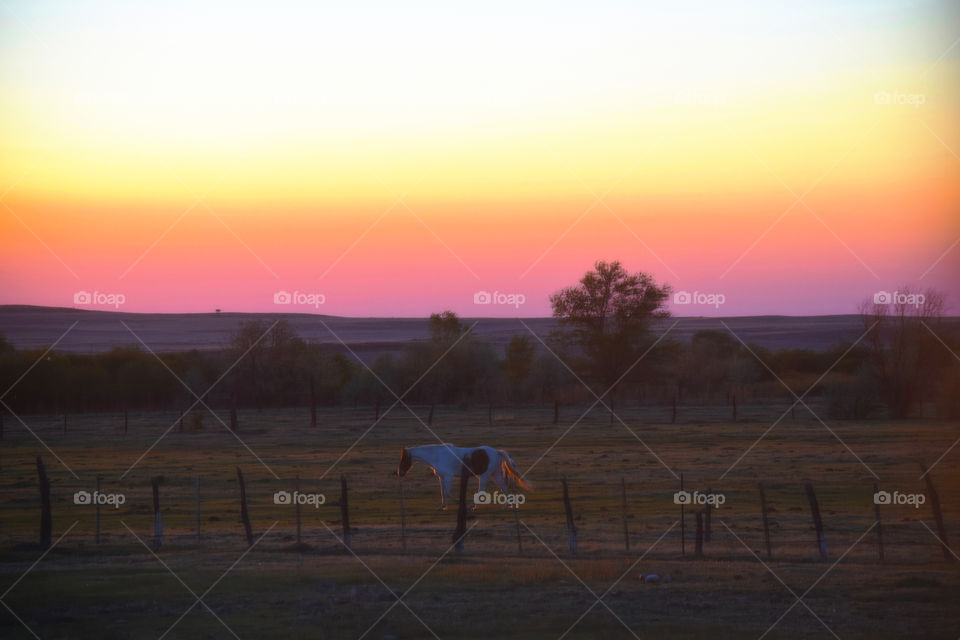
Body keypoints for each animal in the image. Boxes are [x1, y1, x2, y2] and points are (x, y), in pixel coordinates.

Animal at [396, 444, 532, 510]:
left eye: (403, 459)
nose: (399, 473)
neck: (437, 456)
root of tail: (496, 452)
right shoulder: (441, 478)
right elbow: (443, 492)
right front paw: (442, 506)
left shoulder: (448, 477)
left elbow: (447, 492)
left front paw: (458, 503)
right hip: (495, 475)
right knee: (504, 488)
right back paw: (507, 506)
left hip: (484, 476)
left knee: (481, 491)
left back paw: (472, 506)